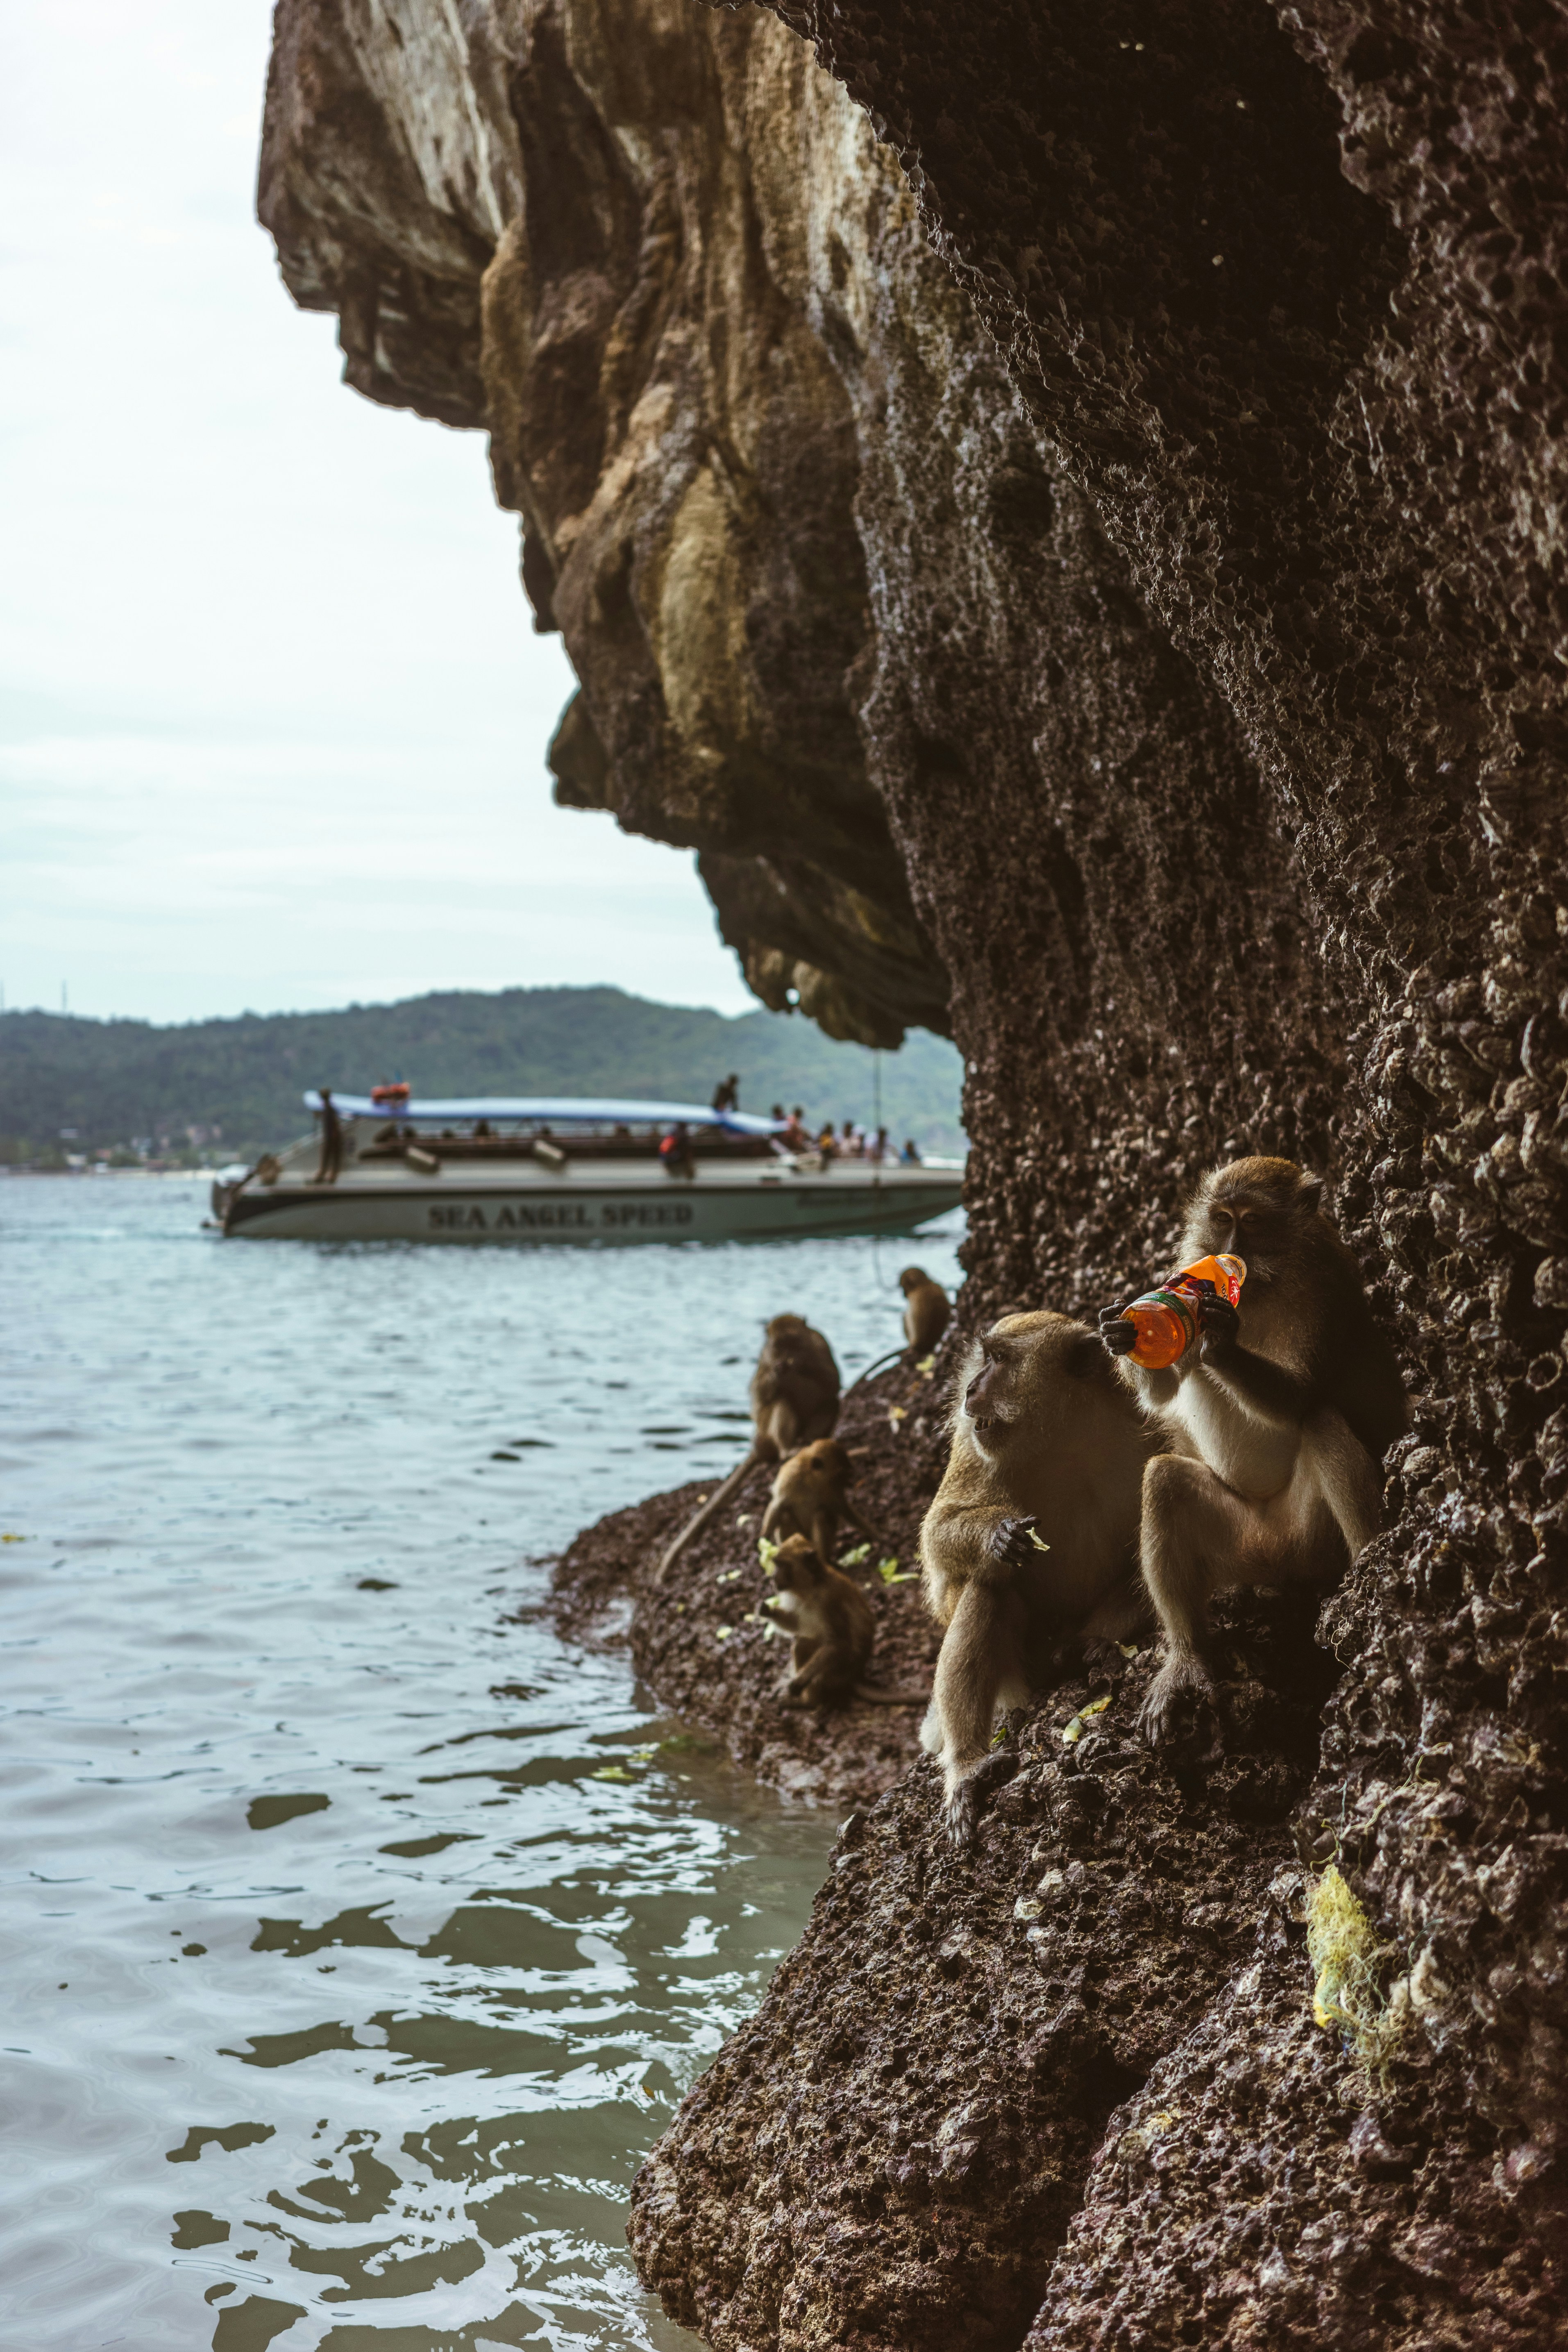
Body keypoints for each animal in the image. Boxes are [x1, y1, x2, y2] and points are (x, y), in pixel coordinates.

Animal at [656, 1314, 840, 1583]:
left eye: (794, 1342)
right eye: (778, 1346)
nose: (785, 1359)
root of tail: (761, 1442)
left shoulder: (819, 1344)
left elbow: (831, 1381)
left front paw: (800, 1365)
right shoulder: (766, 1358)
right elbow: (760, 1394)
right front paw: (777, 1374)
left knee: (830, 1403)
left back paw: (810, 1443)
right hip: (765, 1427)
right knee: (780, 1402)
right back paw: (788, 1449)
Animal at [760, 1437, 878, 1567]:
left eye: (846, 1473)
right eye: (841, 1473)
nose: (849, 1480)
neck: (811, 1478)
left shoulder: (832, 1487)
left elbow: (842, 1509)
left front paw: (878, 1535)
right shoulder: (792, 1475)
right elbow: (778, 1505)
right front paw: (765, 1537)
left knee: (821, 1515)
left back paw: (823, 1560)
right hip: (802, 1537)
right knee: (786, 1515)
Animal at [760, 1534, 926, 1708]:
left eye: (783, 1565)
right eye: (776, 1564)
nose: (772, 1577)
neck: (812, 1586)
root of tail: (855, 1675)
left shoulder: (829, 1601)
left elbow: (839, 1641)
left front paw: (800, 1681)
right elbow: (796, 1623)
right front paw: (767, 1611)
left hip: (837, 1671)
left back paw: (809, 1702)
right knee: (802, 1643)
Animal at [918, 1312, 1158, 1844]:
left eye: (998, 1359)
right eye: (985, 1356)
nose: (970, 1388)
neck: (1063, 1438)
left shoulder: (1146, 1427)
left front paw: (1100, 1641)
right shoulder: (973, 1445)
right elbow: (939, 1536)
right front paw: (998, 1535)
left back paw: (1076, 1649)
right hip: (1016, 1674)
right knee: (989, 1587)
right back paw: (967, 1766)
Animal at [1098, 1156, 1409, 1748]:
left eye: (1253, 1221)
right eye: (1222, 1219)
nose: (1231, 1249)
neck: (1262, 1285)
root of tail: (1276, 1560)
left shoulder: (1327, 1286)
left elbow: (1299, 1398)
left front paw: (1218, 1334)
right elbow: (1164, 1389)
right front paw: (1124, 1329)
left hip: (1311, 1539)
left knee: (1320, 1421)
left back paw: (1366, 1575)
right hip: (1239, 1546)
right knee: (1165, 1480)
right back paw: (1188, 1658)